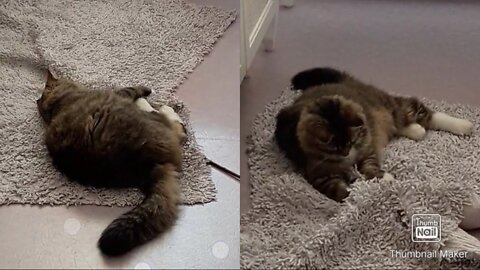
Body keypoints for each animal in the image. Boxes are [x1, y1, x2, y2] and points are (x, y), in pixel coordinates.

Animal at [37, 69, 186, 255]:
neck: (58, 105)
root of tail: (151, 165)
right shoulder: (120, 93)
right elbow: (132, 89)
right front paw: (145, 90)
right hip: (152, 121)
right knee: (177, 128)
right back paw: (156, 106)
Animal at [276, 67, 474, 202]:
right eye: (333, 145)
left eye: (351, 141)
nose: (347, 153)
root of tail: (347, 82)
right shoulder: (320, 176)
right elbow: (341, 191)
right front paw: (354, 193)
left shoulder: (367, 149)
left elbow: (369, 166)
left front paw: (383, 177)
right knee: (402, 125)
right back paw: (416, 130)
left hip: (392, 106)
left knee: (426, 114)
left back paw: (463, 125)